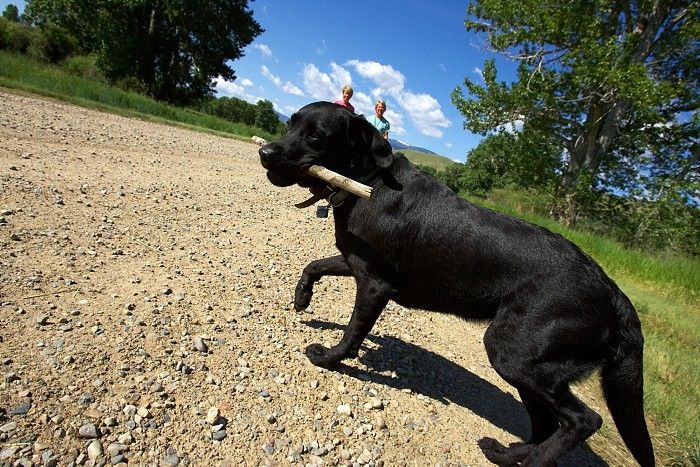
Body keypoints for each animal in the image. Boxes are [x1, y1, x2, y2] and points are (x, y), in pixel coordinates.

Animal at [258, 102, 656, 467]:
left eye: (316, 136)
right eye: (290, 124)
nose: (265, 152)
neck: (370, 181)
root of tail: (617, 297)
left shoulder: (374, 284)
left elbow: (353, 331)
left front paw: (329, 357)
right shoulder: (356, 261)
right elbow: (315, 264)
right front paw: (302, 297)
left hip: (515, 352)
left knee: (583, 420)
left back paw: (535, 459)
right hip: (528, 366)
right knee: (546, 422)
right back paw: (508, 454)